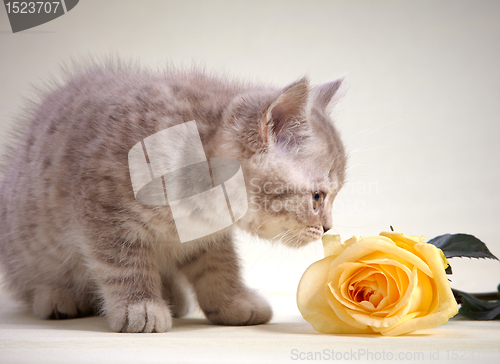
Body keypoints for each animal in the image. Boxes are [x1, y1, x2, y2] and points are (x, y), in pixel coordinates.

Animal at [0, 61, 346, 332]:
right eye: (317, 197)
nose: (328, 227)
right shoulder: (104, 212)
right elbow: (123, 264)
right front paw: (140, 307)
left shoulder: (207, 234)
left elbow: (219, 267)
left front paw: (232, 302)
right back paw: (56, 296)